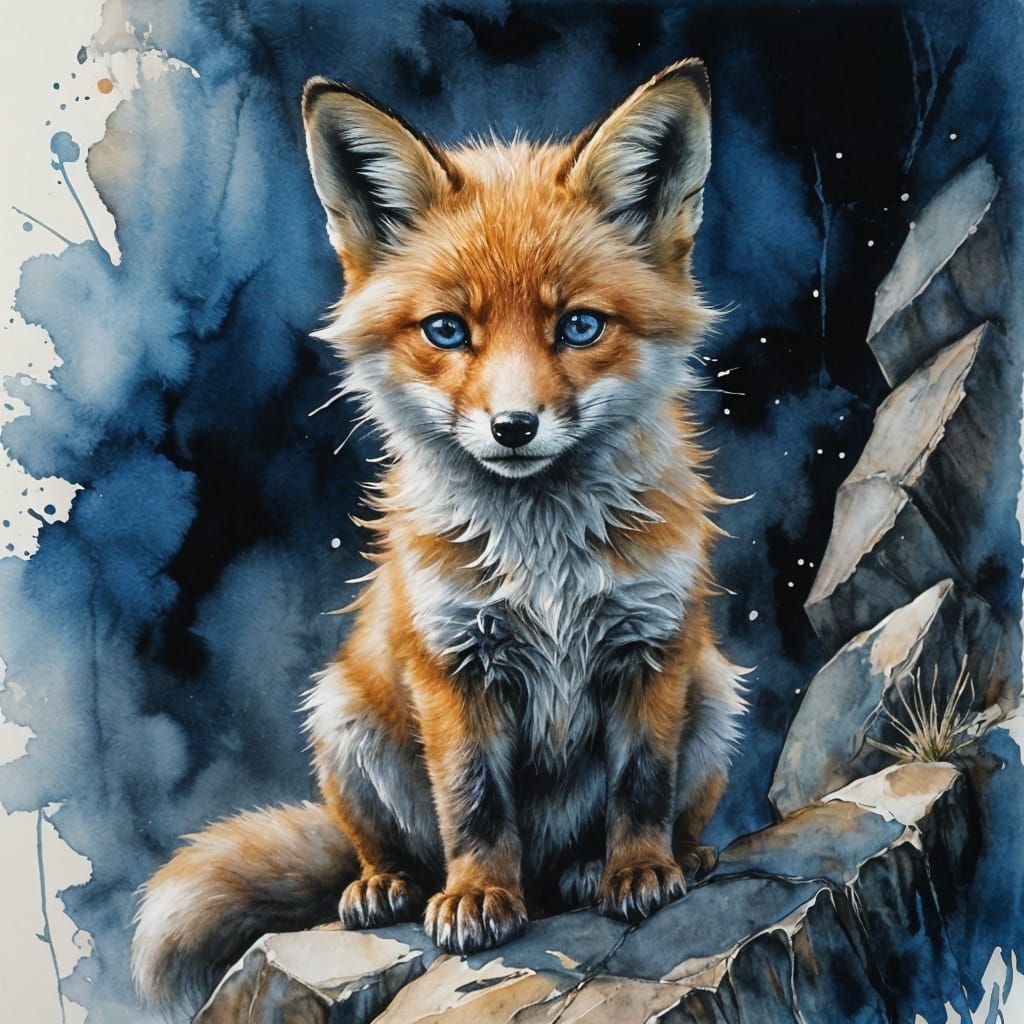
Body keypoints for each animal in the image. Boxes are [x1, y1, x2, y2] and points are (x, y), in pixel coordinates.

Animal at [131, 58, 747, 1012]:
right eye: (448, 330)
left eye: (579, 325)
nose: (514, 428)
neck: (544, 562)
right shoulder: (455, 662)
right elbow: (473, 804)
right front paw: (479, 897)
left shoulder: (652, 646)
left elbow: (642, 784)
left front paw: (639, 871)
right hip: (343, 715)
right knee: (388, 849)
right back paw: (390, 887)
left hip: (713, 692)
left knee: (622, 830)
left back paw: (625, 866)